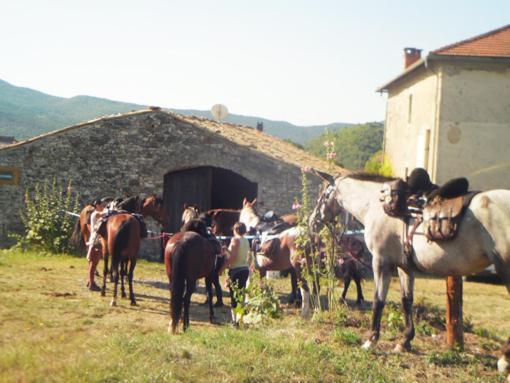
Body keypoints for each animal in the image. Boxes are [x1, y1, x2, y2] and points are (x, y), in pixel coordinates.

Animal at [308, 172, 510, 352]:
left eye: (323, 194)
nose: (312, 221)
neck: (377, 205)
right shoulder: (404, 266)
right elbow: (407, 301)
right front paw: (405, 341)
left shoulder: (381, 261)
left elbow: (378, 300)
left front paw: (371, 340)